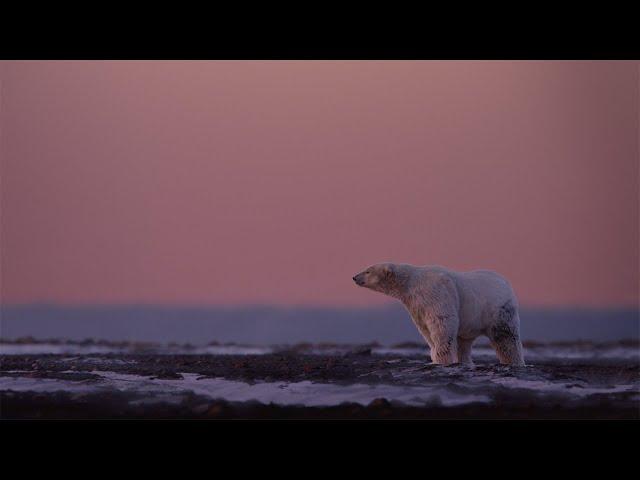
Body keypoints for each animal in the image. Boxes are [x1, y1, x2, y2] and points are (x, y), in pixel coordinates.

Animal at [356, 264, 524, 366]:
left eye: (368, 270)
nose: (354, 277)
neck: (411, 282)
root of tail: (507, 283)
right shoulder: (416, 305)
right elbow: (425, 329)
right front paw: (434, 356)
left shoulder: (435, 293)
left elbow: (441, 323)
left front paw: (441, 359)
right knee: (464, 341)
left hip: (498, 309)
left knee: (505, 338)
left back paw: (513, 361)